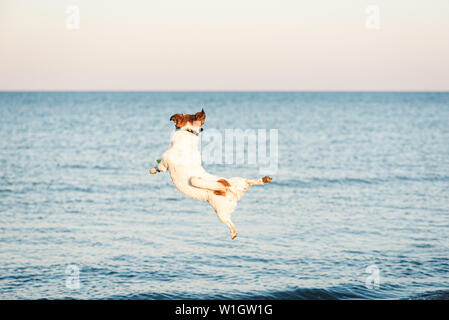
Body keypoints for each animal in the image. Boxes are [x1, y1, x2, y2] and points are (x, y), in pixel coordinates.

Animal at [149, 109, 272, 239]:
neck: (188, 133)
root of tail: (230, 189)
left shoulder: (164, 164)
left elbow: (159, 166)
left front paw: (153, 170)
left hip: (220, 212)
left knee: (231, 224)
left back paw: (233, 233)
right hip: (237, 182)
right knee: (249, 182)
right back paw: (264, 180)